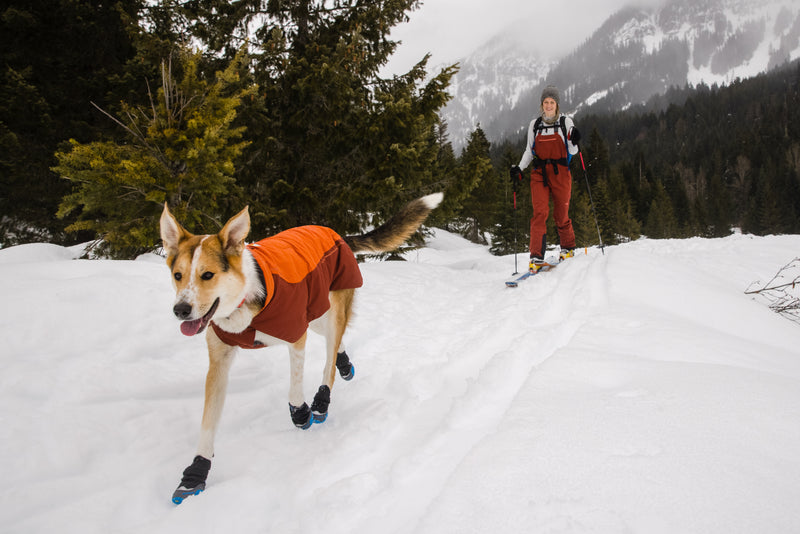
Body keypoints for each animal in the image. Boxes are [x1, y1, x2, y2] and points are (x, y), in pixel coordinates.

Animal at [159, 195, 440, 504]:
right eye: (178, 275)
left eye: (207, 275)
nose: (180, 310)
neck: (245, 302)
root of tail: (333, 232)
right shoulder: (220, 360)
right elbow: (208, 424)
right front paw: (195, 474)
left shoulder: (296, 335)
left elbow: (295, 388)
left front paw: (301, 413)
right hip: (317, 313)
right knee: (335, 343)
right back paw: (345, 363)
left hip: (328, 311)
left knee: (329, 359)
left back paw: (323, 399)